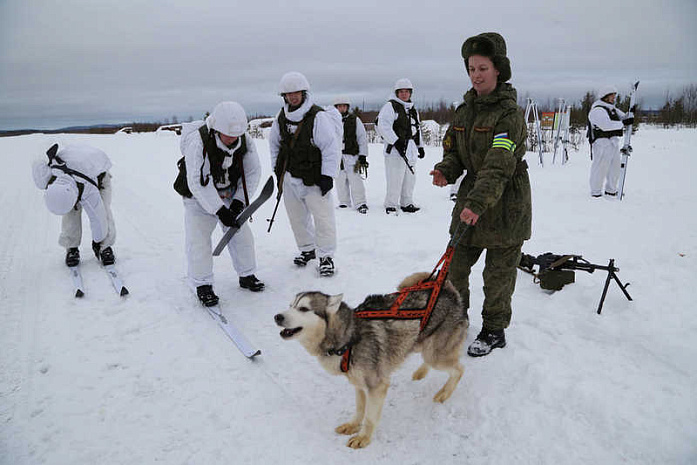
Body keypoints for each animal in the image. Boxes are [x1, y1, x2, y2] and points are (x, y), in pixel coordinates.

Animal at [274, 272, 468, 446]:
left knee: (458, 369)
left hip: (435, 354)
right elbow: (360, 409)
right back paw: (420, 372)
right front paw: (352, 426)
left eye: (303, 309)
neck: (349, 338)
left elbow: (369, 417)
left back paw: (444, 393)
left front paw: (363, 438)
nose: (277, 316)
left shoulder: (377, 386)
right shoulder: (359, 384)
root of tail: (447, 290)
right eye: (290, 306)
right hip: (419, 343)